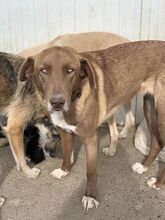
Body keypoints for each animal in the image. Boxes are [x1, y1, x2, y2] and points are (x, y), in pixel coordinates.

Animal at [17, 40, 165, 210]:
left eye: (70, 70)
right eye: (43, 70)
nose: (57, 103)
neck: (75, 98)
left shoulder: (90, 138)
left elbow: (91, 172)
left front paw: (90, 196)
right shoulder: (65, 132)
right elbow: (66, 155)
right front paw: (64, 171)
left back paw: (158, 182)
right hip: (149, 106)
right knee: (157, 142)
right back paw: (144, 167)